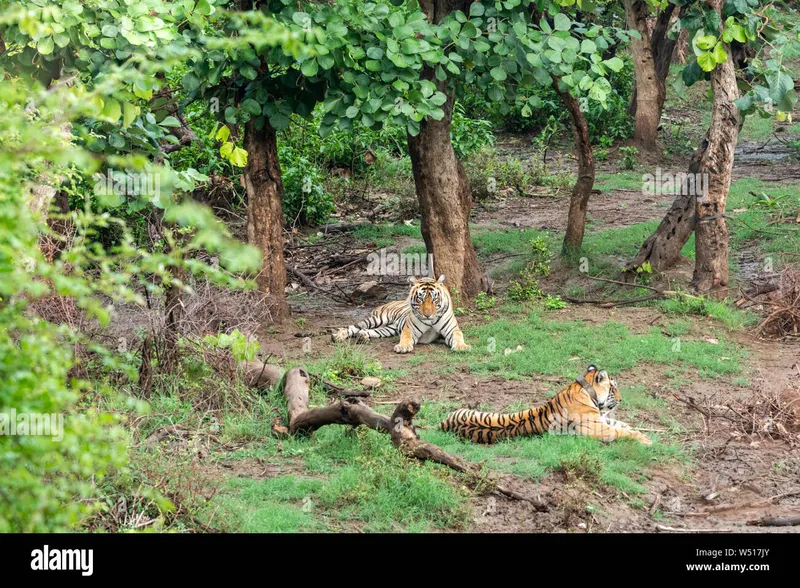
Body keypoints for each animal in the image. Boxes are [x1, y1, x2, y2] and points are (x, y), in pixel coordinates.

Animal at [330, 276, 468, 354]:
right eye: (420, 299)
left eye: (435, 299)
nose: (427, 315)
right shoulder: (410, 329)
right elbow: (405, 337)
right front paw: (403, 347)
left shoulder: (452, 329)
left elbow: (458, 336)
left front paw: (462, 346)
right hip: (377, 319)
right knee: (353, 327)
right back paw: (338, 336)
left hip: (390, 329)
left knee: (368, 331)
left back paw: (362, 337)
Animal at [440, 366, 652, 444]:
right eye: (613, 388)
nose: (622, 400)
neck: (584, 389)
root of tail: (443, 424)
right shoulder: (596, 428)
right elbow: (620, 431)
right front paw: (645, 440)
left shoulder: (600, 420)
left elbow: (622, 425)